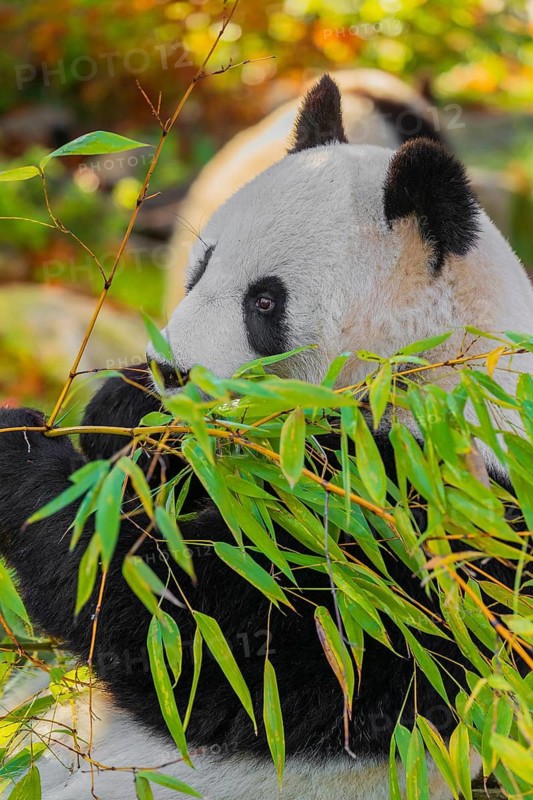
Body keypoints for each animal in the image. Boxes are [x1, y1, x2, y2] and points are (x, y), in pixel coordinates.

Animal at [0, 75, 532, 800]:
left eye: (264, 302)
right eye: (198, 267)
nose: (172, 370)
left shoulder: (445, 519)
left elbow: (239, 647)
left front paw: (26, 459)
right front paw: (124, 405)